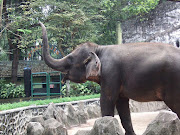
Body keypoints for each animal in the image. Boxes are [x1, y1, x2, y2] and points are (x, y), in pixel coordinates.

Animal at [40, 22, 180, 135]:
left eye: (70, 59)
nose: (38, 23)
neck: (99, 48)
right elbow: (122, 105)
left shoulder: (111, 73)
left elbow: (106, 100)